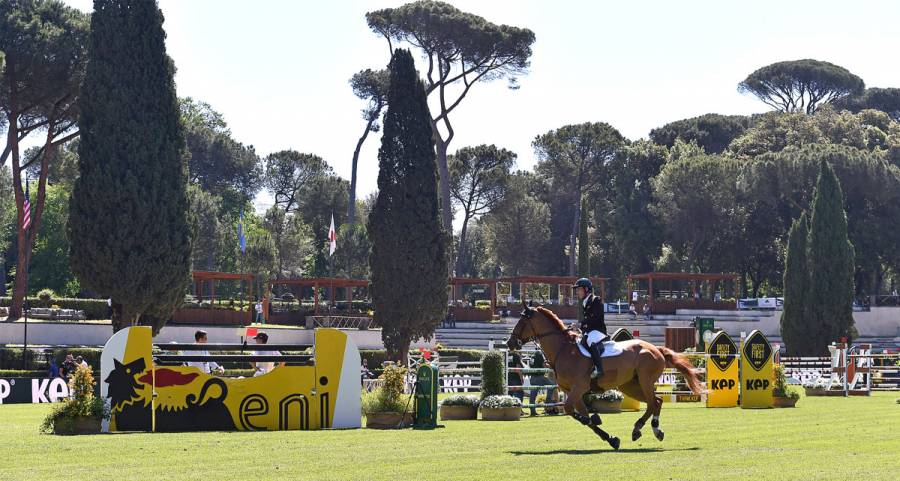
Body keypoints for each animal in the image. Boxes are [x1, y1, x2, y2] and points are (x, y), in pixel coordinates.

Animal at [506, 304, 704, 450]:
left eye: (522, 321)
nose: (510, 343)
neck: (563, 350)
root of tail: (656, 348)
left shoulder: (579, 388)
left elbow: (574, 412)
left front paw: (596, 419)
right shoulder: (572, 391)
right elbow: (582, 416)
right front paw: (611, 439)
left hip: (645, 381)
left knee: (653, 403)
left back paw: (642, 428)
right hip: (630, 385)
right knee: (656, 401)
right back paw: (651, 430)